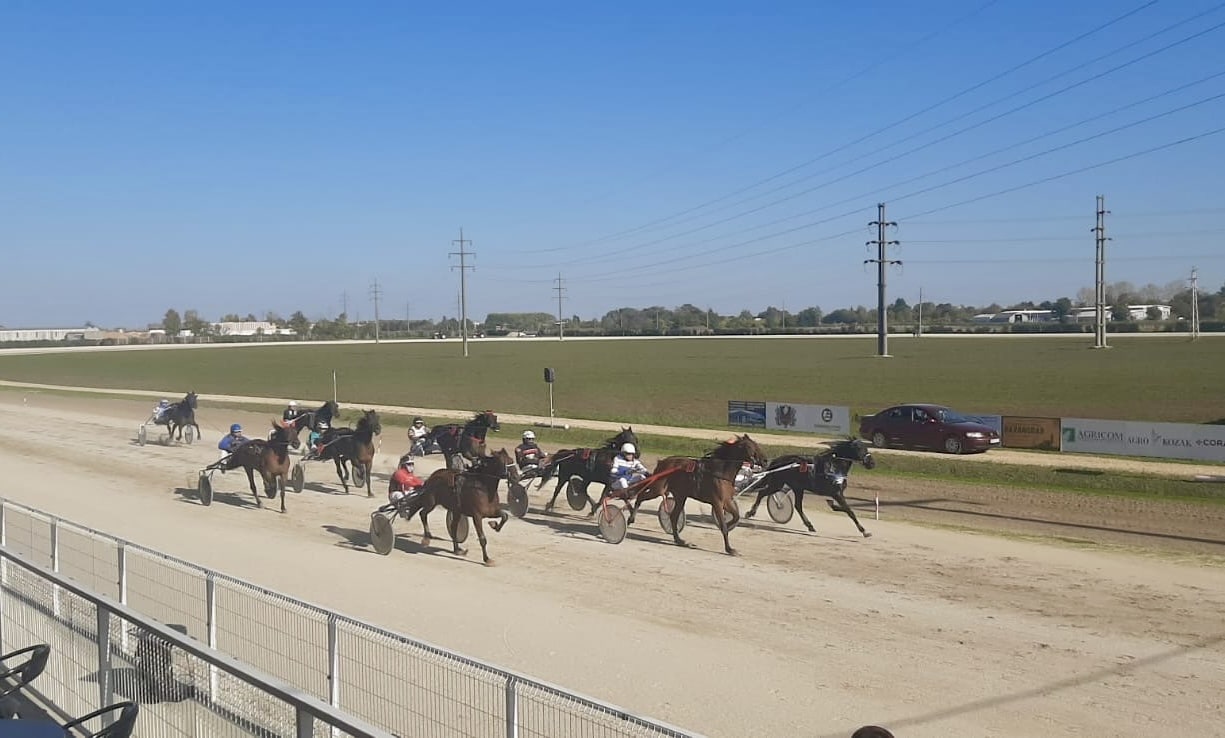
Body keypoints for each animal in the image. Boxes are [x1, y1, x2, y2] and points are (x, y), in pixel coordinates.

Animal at [632, 431, 764, 551]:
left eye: (757, 445)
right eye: (751, 447)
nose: (765, 460)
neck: (720, 472)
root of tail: (662, 462)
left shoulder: (726, 500)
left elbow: (736, 516)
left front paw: (729, 525)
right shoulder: (717, 502)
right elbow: (723, 524)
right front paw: (729, 549)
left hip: (680, 495)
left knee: (673, 516)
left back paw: (679, 540)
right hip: (658, 488)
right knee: (640, 496)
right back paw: (631, 519)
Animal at [739, 436, 877, 534]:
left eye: (866, 447)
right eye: (858, 448)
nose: (871, 463)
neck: (835, 466)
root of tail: (778, 461)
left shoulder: (837, 493)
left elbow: (844, 508)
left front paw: (832, 505)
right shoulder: (836, 493)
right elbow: (849, 511)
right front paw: (864, 531)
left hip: (796, 487)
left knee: (797, 506)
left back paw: (810, 525)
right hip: (778, 483)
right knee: (762, 493)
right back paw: (750, 512)